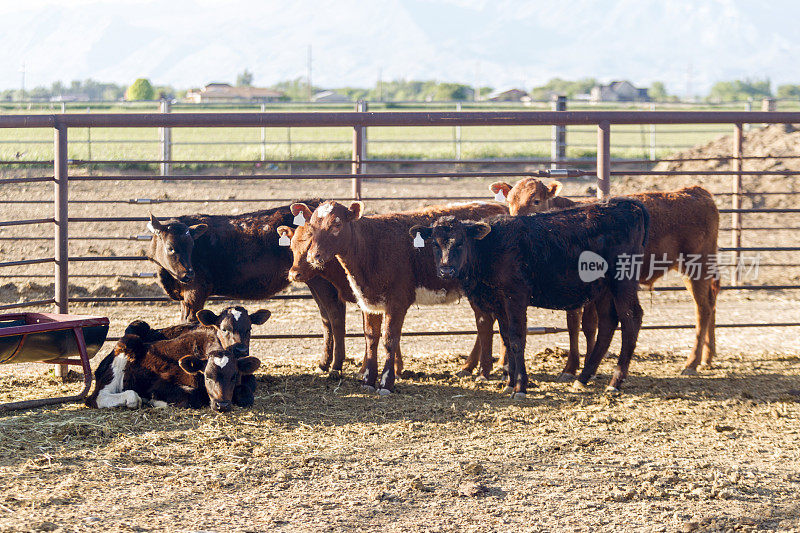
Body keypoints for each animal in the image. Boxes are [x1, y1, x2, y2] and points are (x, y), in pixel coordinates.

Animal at [86, 306, 270, 410]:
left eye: (233, 376)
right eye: (207, 376)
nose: (222, 405)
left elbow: (247, 394)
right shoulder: (159, 385)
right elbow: (191, 396)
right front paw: (154, 402)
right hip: (125, 352)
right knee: (98, 397)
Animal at [146, 202, 350, 372]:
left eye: (191, 246)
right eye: (171, 247)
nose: (189, 274)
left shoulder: (196, 290)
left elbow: (189, 321)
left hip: (321, 279)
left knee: (334, 312)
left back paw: (335, 366)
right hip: (313, 279)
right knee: (325, 316)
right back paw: (324, 363)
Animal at [282, 200, 506, 390]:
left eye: (337, 224)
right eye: (312, 226)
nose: (314, 256)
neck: (371, 247)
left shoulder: (397, 302)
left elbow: (390, 339)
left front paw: (386, 382)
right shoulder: (368, 300)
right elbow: (371, 338)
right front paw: (368, 379)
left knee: (487, 321)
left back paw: (487, 370)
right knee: (484, 321)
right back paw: (473, 368)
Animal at [412, 197, 648, 396]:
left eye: (460, 242)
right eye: (435, 243)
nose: (446, 270)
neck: (490, 247)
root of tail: (626, 204)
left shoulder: (515, 297)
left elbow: (517, 339)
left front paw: (520, 386)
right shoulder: (499, 303)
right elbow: (506, 338)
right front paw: (509, 383)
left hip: (622, 281)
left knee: (631, 319)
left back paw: (614, 382)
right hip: (603, 289)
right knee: (608, 323)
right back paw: (582, 378)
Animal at [490, 181, 720, 376]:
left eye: (536, 200)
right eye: (510, 201)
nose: (514, 222)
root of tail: (696, 191)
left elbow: (587, 325)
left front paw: (582, 366)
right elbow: (578, 325)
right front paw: (578, 365)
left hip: (695, 266)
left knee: (703, 309)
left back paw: (691, 363)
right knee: (712, 300)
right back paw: (707, 358)